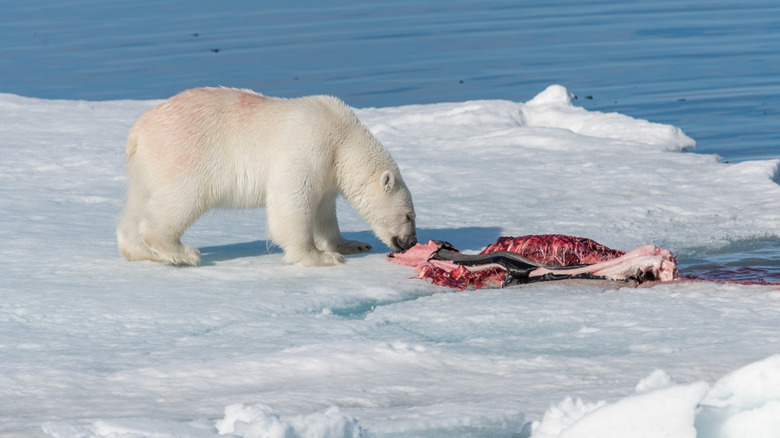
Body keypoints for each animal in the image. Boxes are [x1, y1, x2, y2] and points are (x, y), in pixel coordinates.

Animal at [116, 87, 418, 266]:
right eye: (408, 216)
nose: (412, 242)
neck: (344, 138)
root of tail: (137, 131)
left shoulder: (328, 170)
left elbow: (324, 210)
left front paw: (353, 244)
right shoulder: (310, 147)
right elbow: (292, 199)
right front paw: (321, 256)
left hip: (145, 165)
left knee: (137, 204)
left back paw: (141, 251)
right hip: (184, 155)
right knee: (181, 199)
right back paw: (182, 252)